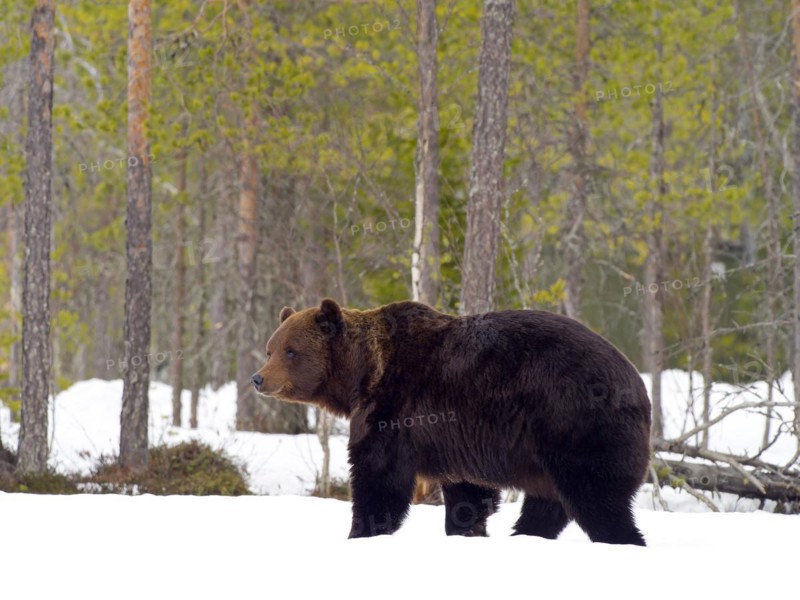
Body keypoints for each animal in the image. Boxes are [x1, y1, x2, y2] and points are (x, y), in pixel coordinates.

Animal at [251, 298, 651, 545]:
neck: (361, 375)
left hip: (574, 421)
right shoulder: (457, 438)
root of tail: (637, 382)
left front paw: (361, 532)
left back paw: (620, 539)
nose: (258, 378)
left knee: (596, 497)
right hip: (544, 451)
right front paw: (467, 529)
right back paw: (524, 536)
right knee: (548, 502)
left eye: (291, 351)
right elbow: (468, 493)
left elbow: (378, 477)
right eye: (270, 348)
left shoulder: (396, 409)